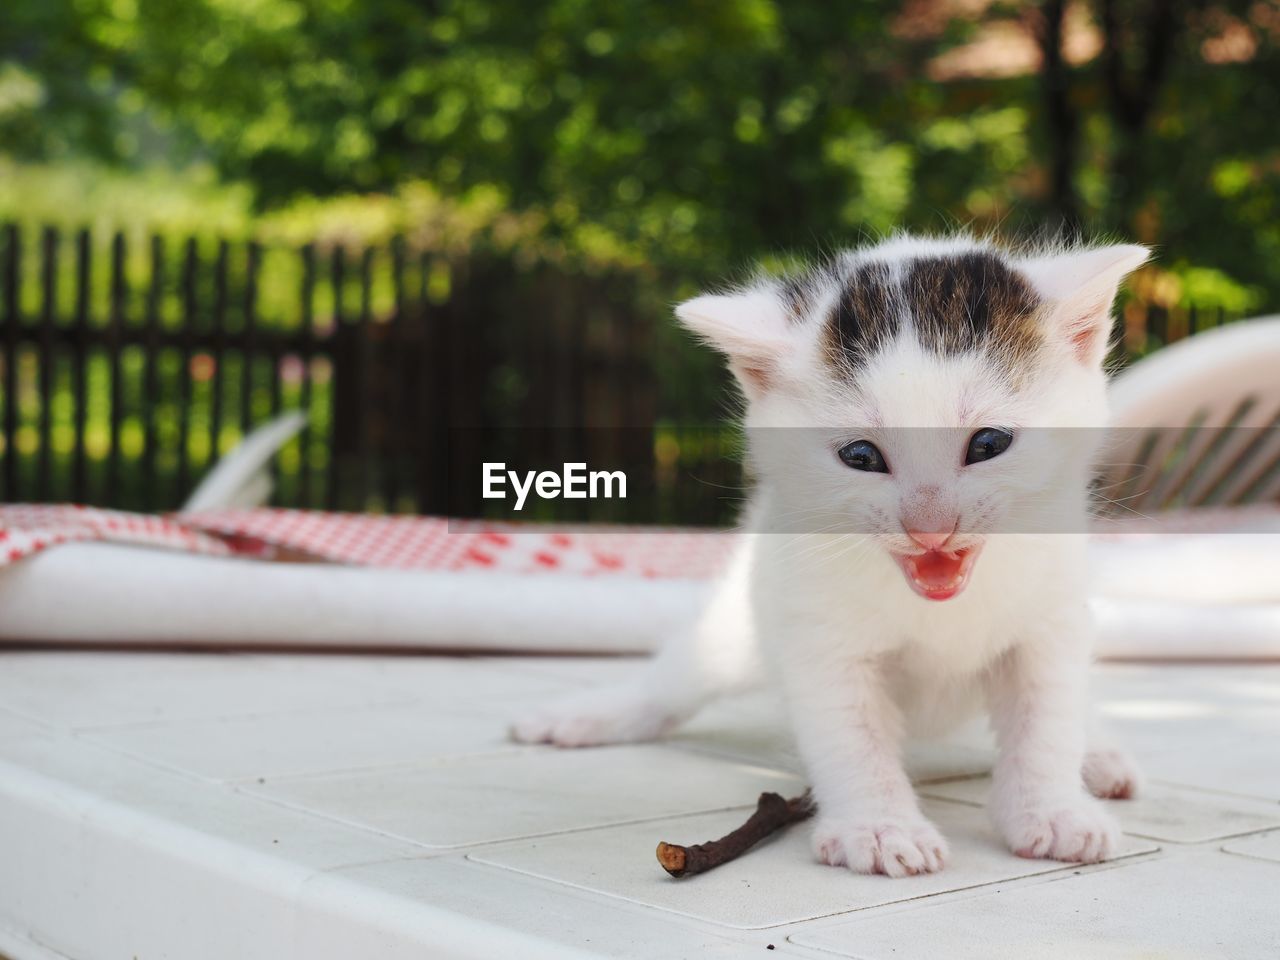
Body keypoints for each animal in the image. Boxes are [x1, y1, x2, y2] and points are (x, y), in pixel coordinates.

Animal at [514, 235, 1146, 880]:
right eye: (860, 456)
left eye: (989, 444)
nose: (930, 526)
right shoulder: (816, 627)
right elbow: (850, 728)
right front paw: (881, 827)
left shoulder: (1053, 616)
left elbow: (1048, 715)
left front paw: (1053, 810)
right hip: (741, 623)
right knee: (680, 677)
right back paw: (589, 716)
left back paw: (1099, 753)